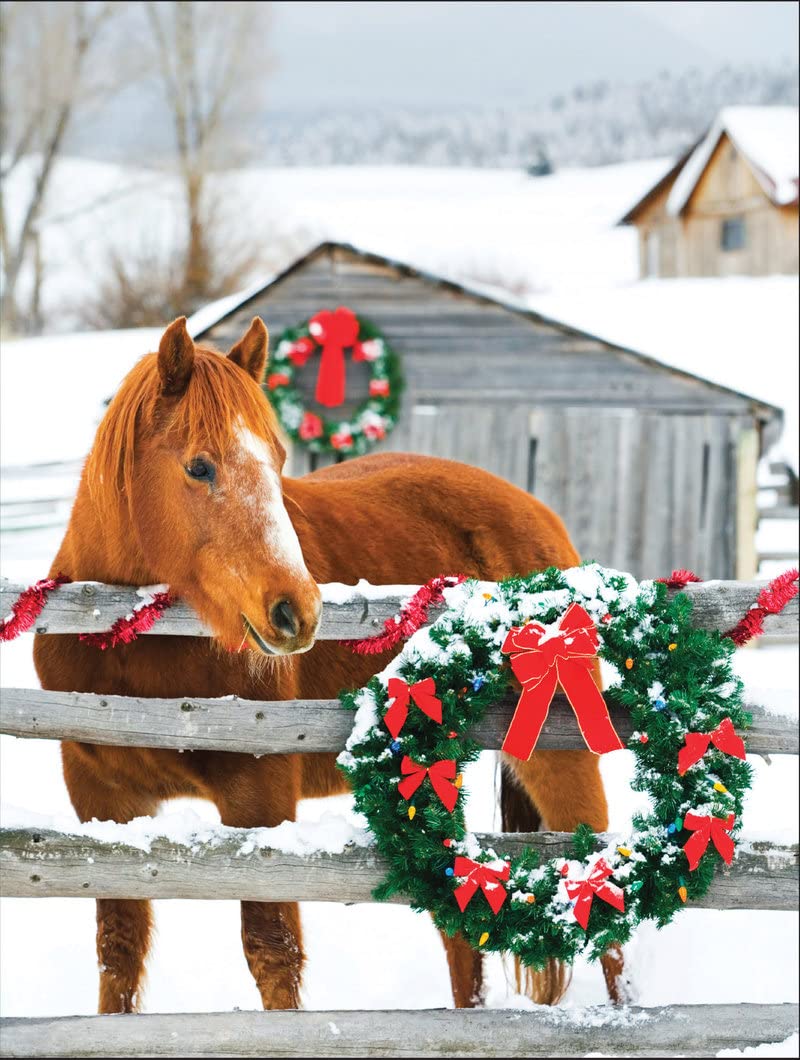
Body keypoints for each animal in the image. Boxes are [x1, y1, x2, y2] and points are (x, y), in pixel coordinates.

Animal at [34, 313, 627, 1009]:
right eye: (199, 467)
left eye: (278, 461)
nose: (297, 611)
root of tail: (538, 518)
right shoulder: (101, 803)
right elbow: (118, 955)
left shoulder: (259, 800)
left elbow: (272, 951)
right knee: (460, 931)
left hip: (559, 760)